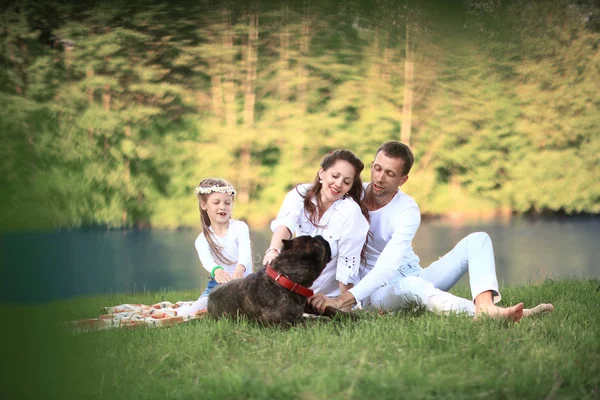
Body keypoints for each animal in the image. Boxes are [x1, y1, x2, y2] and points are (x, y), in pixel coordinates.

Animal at [209, 234, 342, 324]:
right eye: (317, 242)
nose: (320, 236)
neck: (284, 279)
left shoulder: (306, 305)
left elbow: (329, 309)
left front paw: (345, 316)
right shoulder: (289, 324)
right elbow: (312, 322)